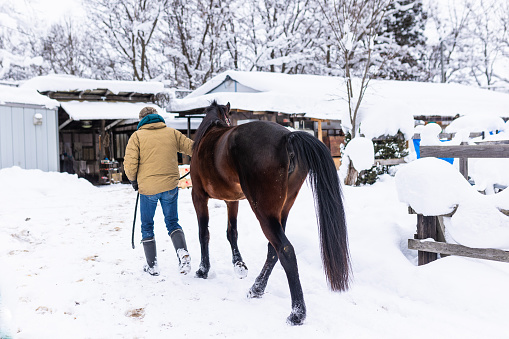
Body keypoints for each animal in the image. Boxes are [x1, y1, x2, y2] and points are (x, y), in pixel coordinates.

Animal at [190, 101, 350, 326]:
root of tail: (287, 138)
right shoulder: (232, 200)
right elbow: (232, 232)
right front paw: (239, 265)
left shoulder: (198, 196)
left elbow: (204, 233)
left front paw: (203, 270)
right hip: (282, 210)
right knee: (273, 250)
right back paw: (256, 289)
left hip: (264, 211)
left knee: (285, 250)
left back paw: (296, 313)